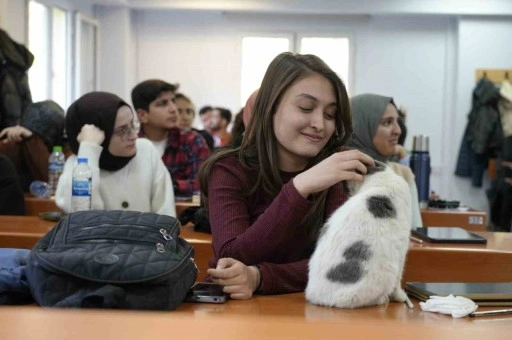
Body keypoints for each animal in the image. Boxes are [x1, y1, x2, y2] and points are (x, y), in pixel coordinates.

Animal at [306, 161, 414, 308]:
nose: (343, 189)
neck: (381, 179)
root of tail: (318, 298)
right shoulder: (402, 251)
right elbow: (399, 281)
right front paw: (400, 296)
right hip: (386, 272)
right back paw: (382, 299)